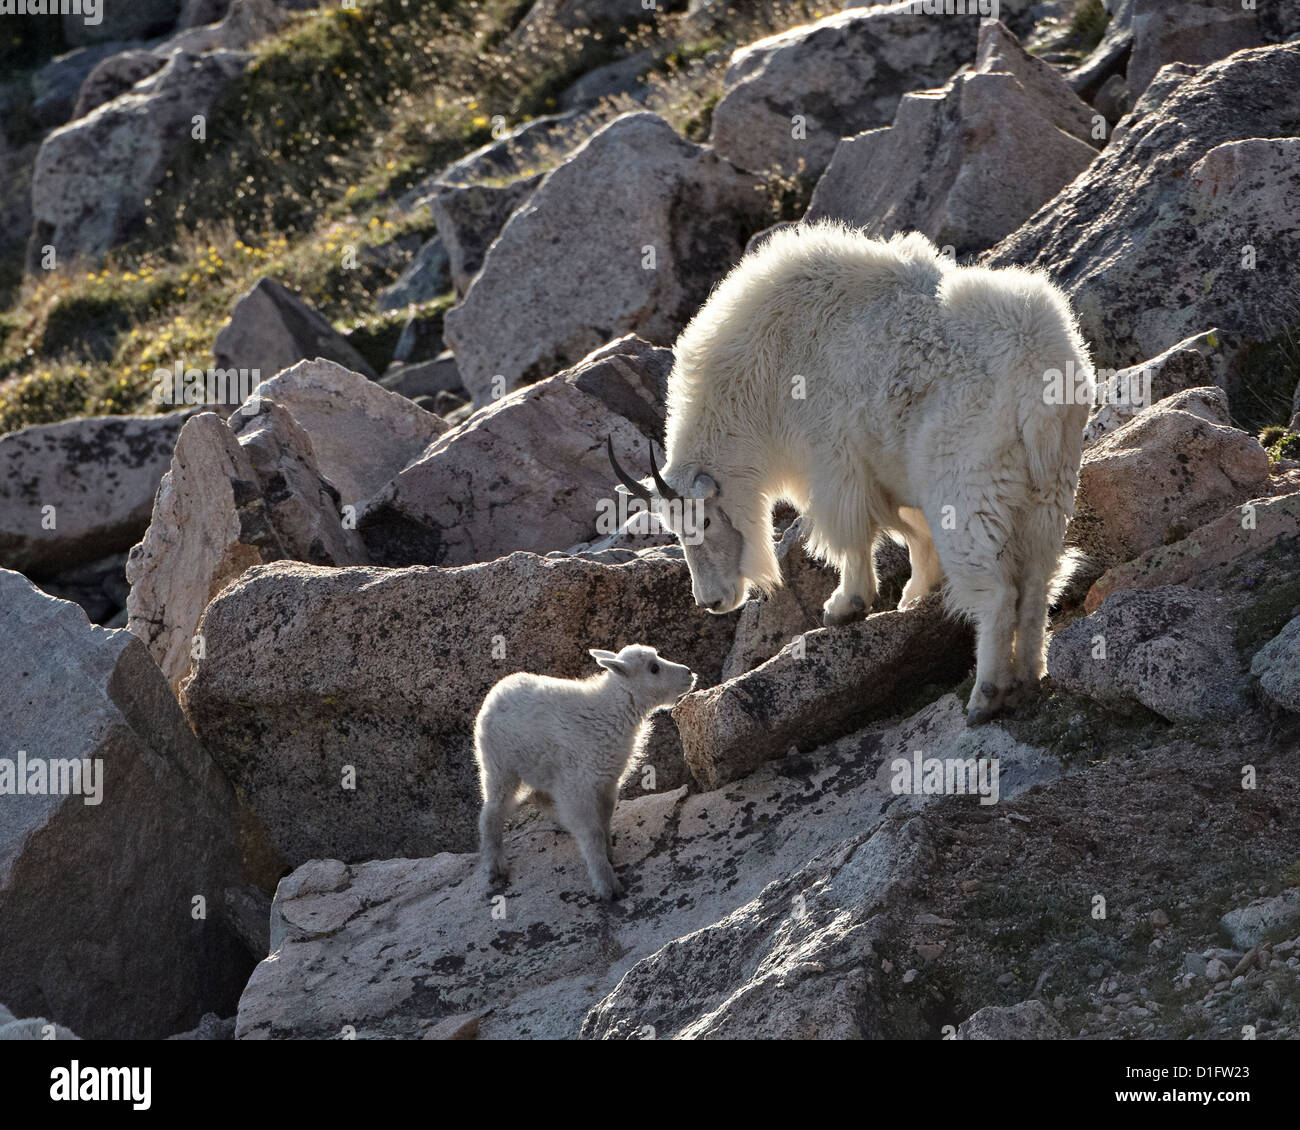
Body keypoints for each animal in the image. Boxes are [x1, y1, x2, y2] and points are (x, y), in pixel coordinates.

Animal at [475, 644, 696, 899]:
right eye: (654, 668)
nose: (689, 673)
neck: (612, 713)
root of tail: (495, 693)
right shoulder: (577, 785)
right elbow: (591, 832)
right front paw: (607, 885)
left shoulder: (607, 781)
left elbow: (605, 818)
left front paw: (608, 854)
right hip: (500, 765)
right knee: (492, 811)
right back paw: (495, 866)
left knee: (538, 795)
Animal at [603, 221, 1092, 722]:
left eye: (701, 521)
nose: (713, 602)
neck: (768, 362)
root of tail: (1037, 379)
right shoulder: (888, 471)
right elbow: (913, 534)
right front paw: (914, 595)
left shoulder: (834, 461)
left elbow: (852, 536)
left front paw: (844, 605)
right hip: (1048, 489)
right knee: (1037, 583)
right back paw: (1027, 677)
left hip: (968, 489)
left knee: (996, 594)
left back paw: (986, 695)